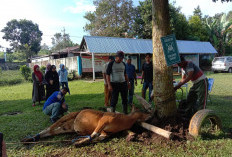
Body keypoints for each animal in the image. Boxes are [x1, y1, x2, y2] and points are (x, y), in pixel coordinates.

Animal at [21, 108, 150, 147]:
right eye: (142, 111)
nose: (149, 115)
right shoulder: (104, 120)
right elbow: (94, 134)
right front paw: (79, 142)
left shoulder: (106, 133)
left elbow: (99, 137)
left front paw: (80, 141)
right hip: (66, 117)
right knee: (48, 129)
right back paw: (29, 139)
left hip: (66, 127)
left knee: (52, 132)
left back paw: (29, 139)